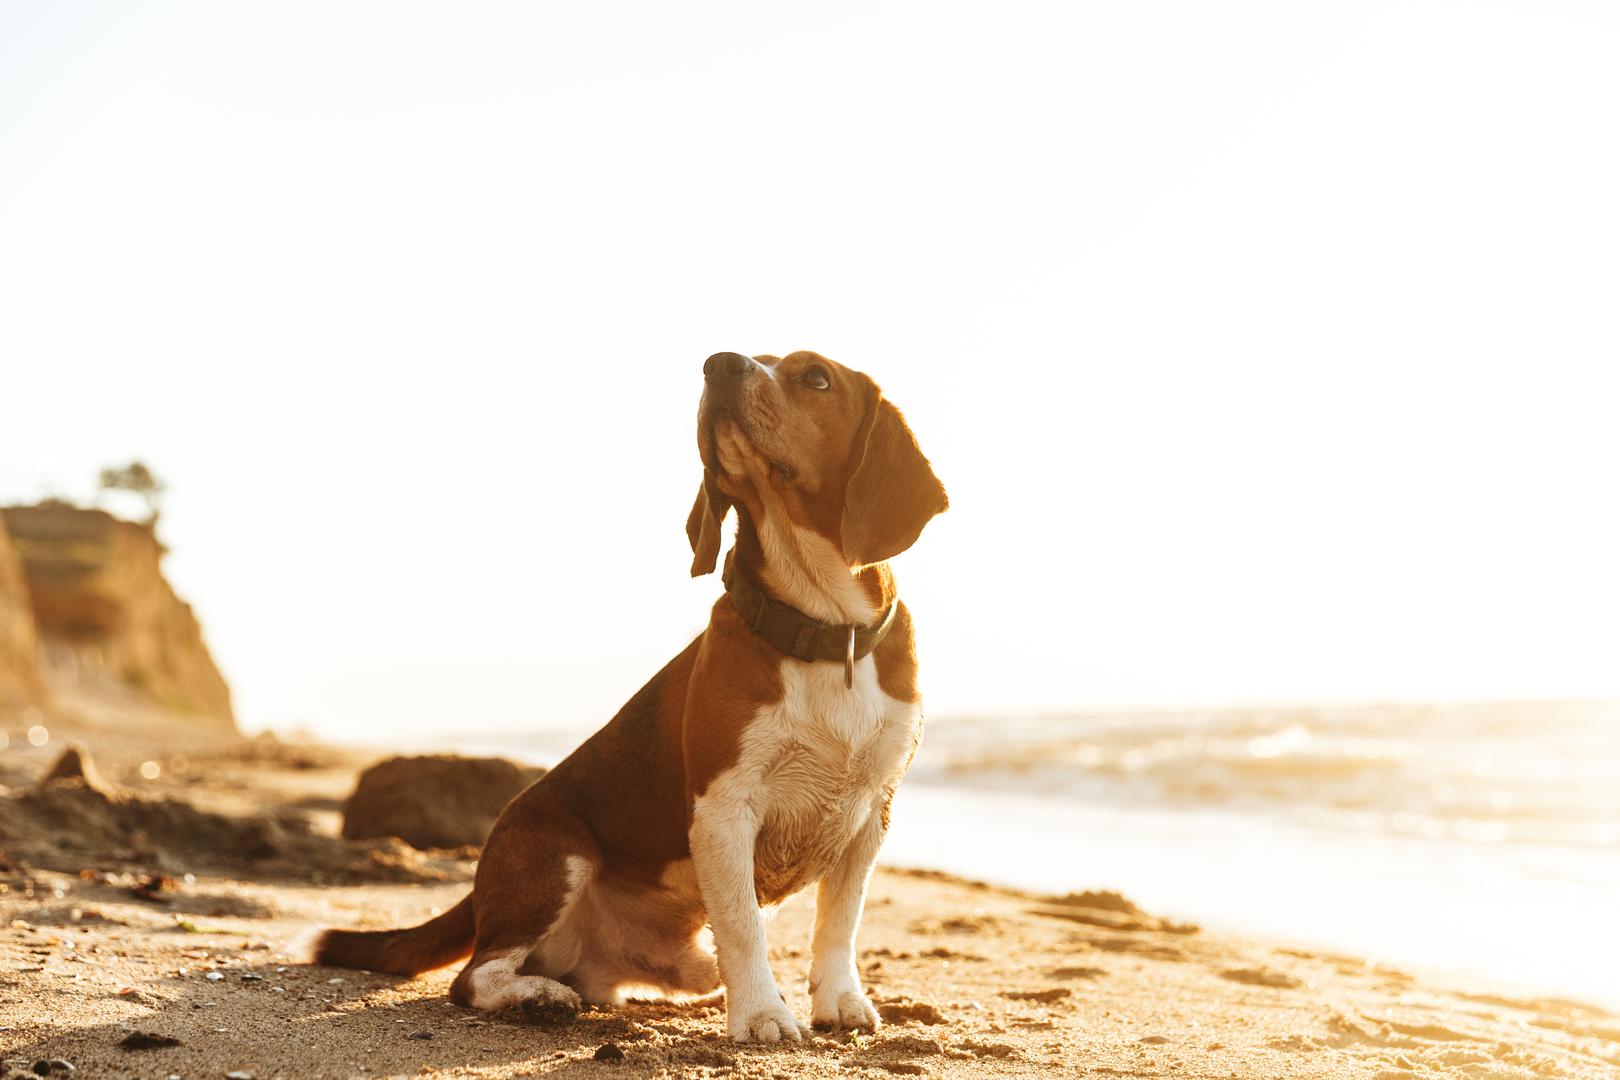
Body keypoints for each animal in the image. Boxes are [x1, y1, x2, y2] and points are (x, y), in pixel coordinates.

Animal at [309, 351, 946, 1042]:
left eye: (816, 377)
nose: (719, 363)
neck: (823, 627)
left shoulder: (870, 812)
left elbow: (839, 923)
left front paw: (840, 1002)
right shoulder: (724, 807)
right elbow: (744, 927)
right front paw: (762, 1014)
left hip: (673, 951)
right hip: (556, 852)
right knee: (474, 976)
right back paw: (540, 997)